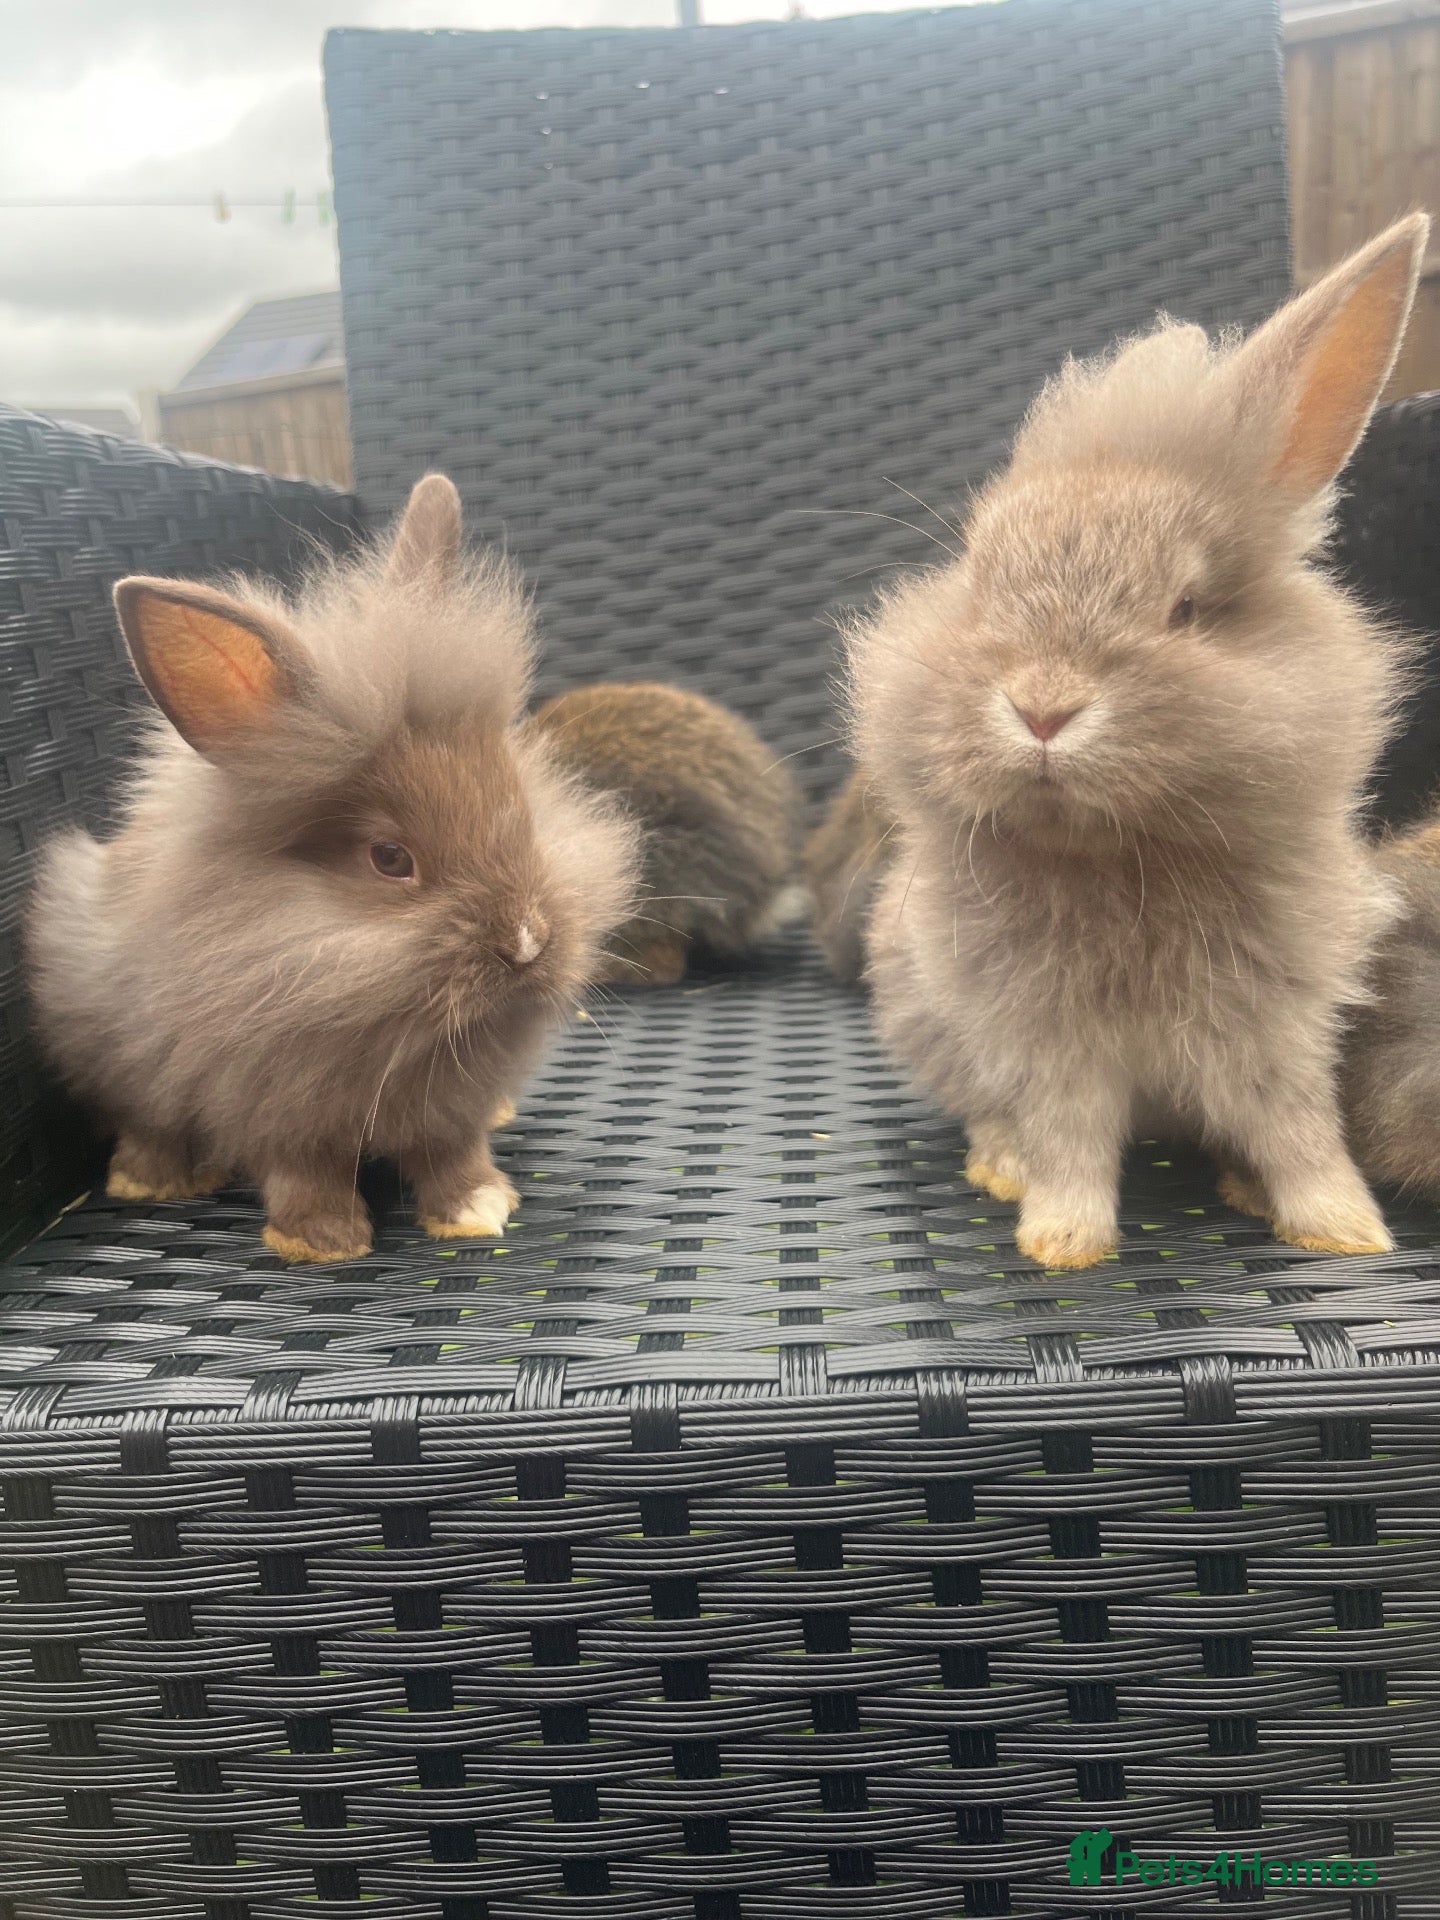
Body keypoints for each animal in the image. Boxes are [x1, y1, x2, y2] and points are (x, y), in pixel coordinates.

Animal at [26, 475, 640, 1264]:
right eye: (390, 859)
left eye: (522, 808)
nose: (528, 941)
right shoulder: (271, 1106)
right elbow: (304, 1173)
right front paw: (322, 1242)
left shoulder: (449, 1111)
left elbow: (454, 1153)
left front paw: (480, 1210)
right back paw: (151, 1182)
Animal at [846, 214, 1430, 1269]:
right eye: (979, 584)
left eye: (1187, 609)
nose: (1043, 707)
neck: (1125, 856)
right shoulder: (1049, 1039)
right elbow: (1069, 1134)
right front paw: (1062, 1240)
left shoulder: (1279, 1025)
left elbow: (1296, 1127)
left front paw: (1346, 1233)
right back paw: (1000, 1168)